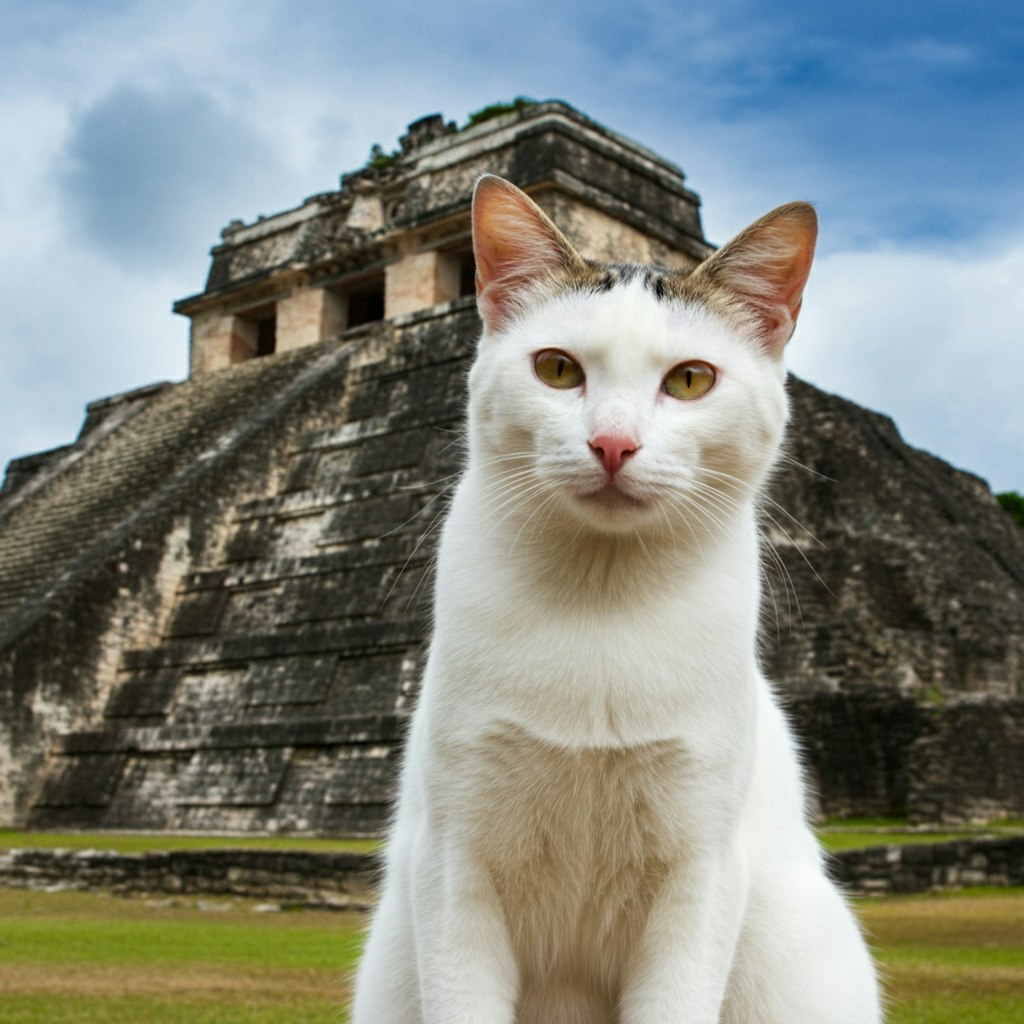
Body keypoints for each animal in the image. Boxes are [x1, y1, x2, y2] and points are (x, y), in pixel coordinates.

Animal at [352, 176, 880, 1024]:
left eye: (691, 379)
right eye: (558, 369)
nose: (612, 444)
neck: (602, 604)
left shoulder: (701, 869)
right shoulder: (454, 859)